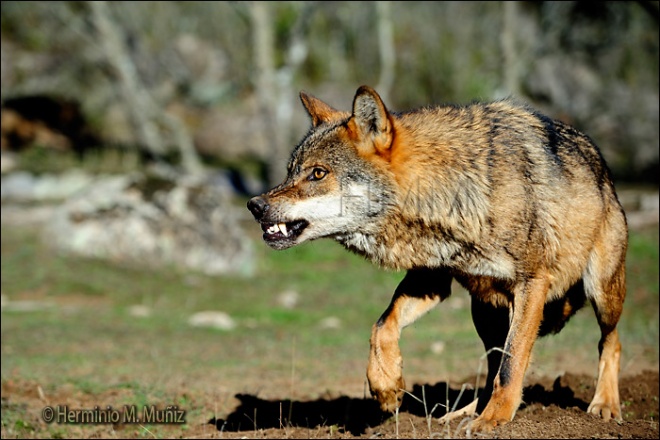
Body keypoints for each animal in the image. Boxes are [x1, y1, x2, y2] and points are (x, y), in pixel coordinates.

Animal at [245, 86, 628, 434]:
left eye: (318, 173)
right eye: (290, 171)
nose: (255, 205)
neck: (455, 191)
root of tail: (605, 171)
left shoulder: (532, 283)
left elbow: (513, 362)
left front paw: (495, 420)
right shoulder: (431, 278)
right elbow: (382, 326)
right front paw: (387, 387)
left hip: (601, 291)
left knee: (610, 342)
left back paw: (605, 405)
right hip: (484, 309)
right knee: (490, 366)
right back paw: (461, 414)